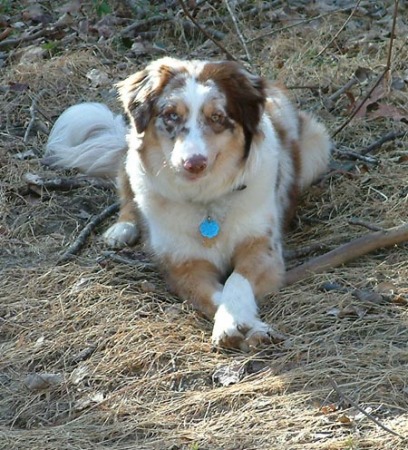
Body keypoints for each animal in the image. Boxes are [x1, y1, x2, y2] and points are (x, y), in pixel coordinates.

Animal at [44, 57, 332, 352]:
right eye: (171, 115)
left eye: (217, 117)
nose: (194, 163)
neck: (206, 201)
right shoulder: (183, 266)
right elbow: (216, 296)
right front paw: (238, 325)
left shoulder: (264, 248)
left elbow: (236, 281)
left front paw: (241, 322)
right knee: (126, 191)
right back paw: (122, 228)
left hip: (317, 146)